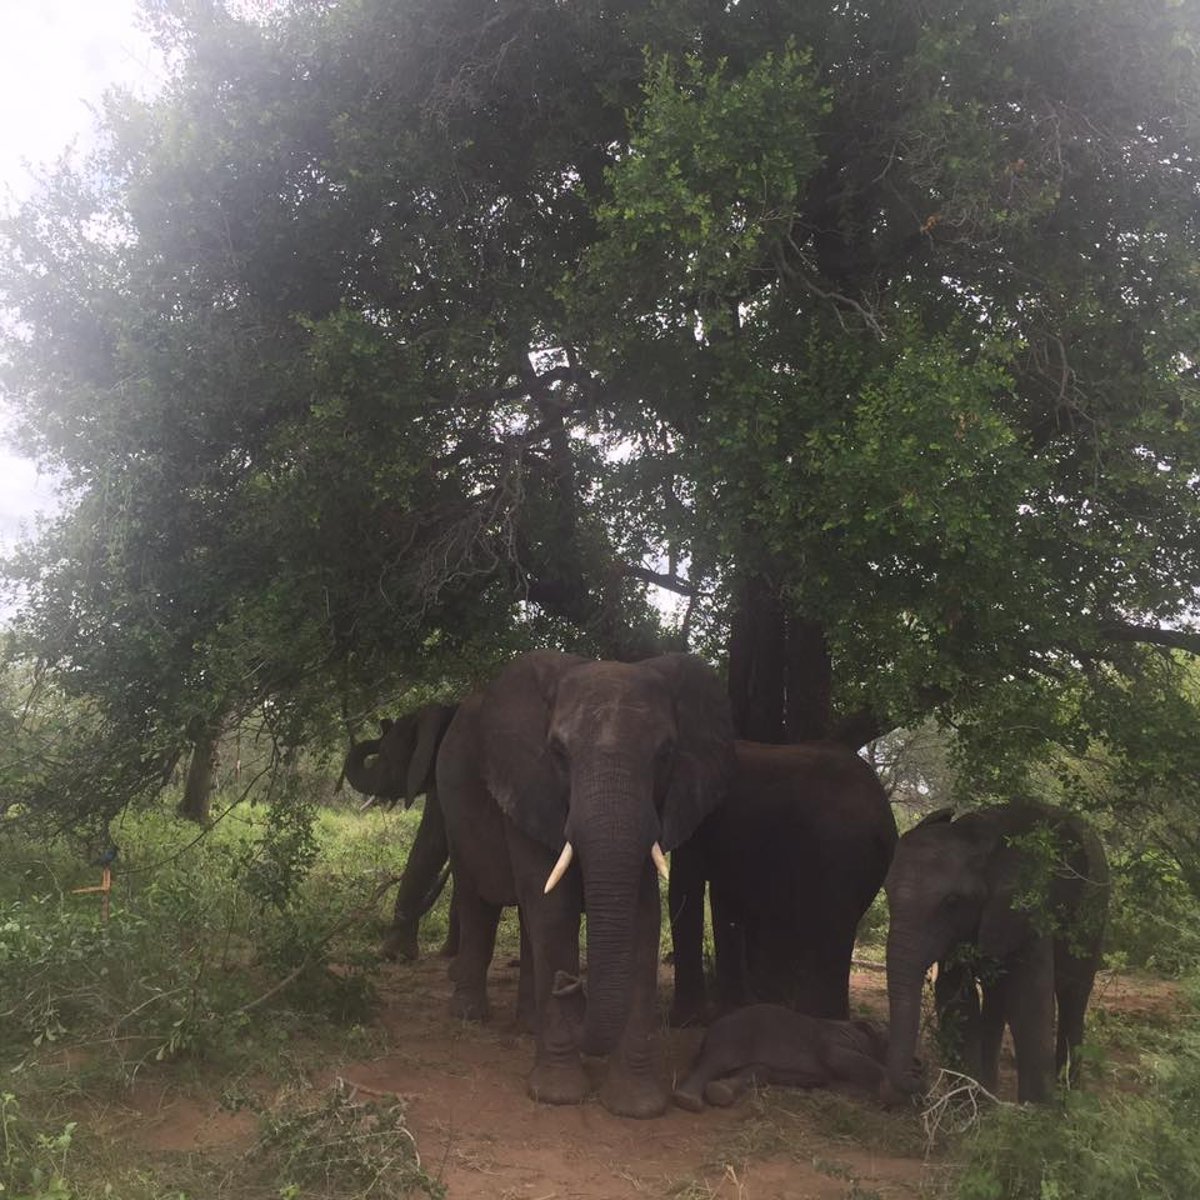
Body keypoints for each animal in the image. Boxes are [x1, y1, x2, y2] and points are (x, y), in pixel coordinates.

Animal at [434, 652, 729, 1118]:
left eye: (666, 753)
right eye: (557, 752)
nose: (569, 984)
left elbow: (643, 918)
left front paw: (636, 1106)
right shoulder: (529, 784)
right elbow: (554, 912)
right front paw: (558, 1096)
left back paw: (529, 1023)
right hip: (454, 808)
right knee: (478, 898)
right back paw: (469, 1014)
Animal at [672, 739, 897, 1022]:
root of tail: (884, 818)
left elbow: (685, 887)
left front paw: (688, 1021)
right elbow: (726, 896)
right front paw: (733, 1010)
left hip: (838, 849)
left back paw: (817, 1018)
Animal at [672, 998, 897, 1108]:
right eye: (887, 1040)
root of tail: (708, 1031)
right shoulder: (831, 1040)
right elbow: (836, 1057)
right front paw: (888, 1091)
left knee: (758, 1070)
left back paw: (721, 1092)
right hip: (735, 1033)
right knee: (716, 1061)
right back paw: (688, 1100)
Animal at [883, 801, 1104, 1099]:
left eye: (952, 901)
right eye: (887, 894)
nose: (919, 1073)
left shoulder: (1028, 907)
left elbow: (1028, 997)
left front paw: (1036, 1109)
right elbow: (957, 998)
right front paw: (968, 1102)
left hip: (1095, 912)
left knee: (1073, 993)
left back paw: (1069, 1094)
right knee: (997, 996)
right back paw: (990, 1091)